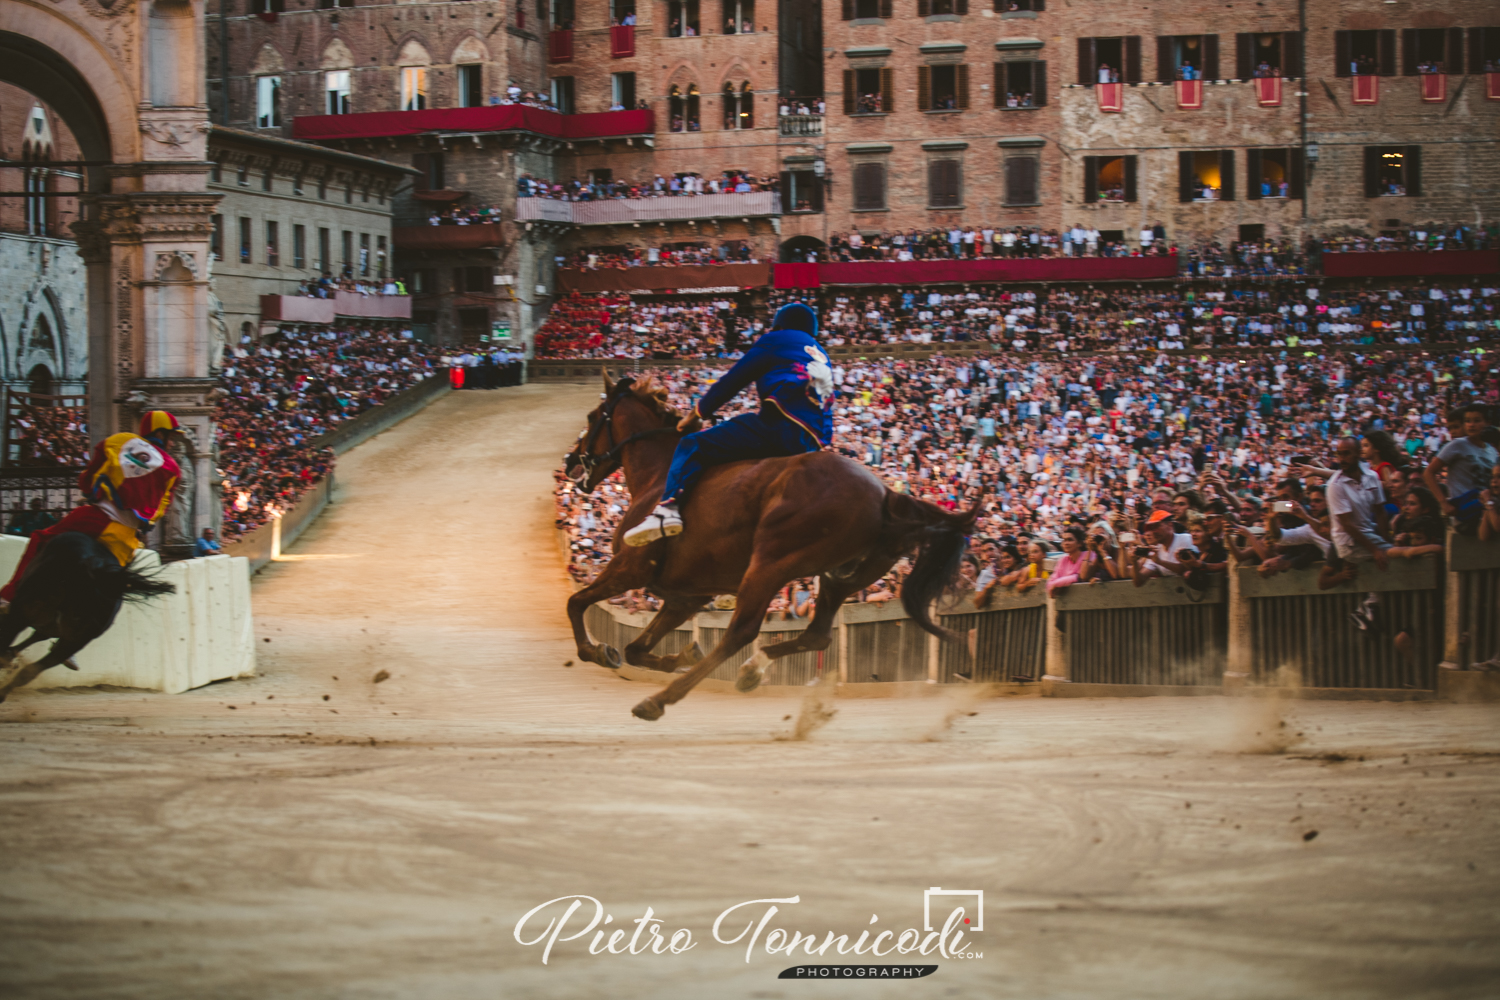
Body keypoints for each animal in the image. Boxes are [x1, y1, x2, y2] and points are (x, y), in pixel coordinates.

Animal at [567, 371, 978, 722]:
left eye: (592, 416)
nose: (570, 463)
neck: (658, 475)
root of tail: (885, 494)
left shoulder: (630, 568)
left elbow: (576, 603)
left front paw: (595, 650)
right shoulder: (685, 596)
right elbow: (635, 648)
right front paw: (679, 653)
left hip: (769, 564)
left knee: (741, 632)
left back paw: (660, 700)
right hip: (840, 576)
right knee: (817, 634)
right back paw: (752, 668)